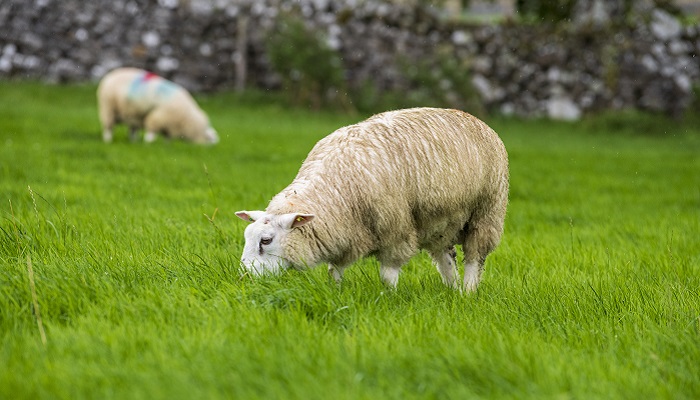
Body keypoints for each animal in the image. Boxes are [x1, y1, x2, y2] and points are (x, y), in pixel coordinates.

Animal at [235, 107, 509, 291]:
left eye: (266, 241)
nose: (243, 279)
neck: (336, 190)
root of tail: (471, 117)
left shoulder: (396, 231)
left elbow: (388, 274)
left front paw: (390, 297)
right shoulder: (345, 234)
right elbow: (334, 271)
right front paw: (336, 292)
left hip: (487, 211)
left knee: (475, 256)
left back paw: (468, 292)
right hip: (440, 221)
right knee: (445, 257)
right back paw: (452, 289)